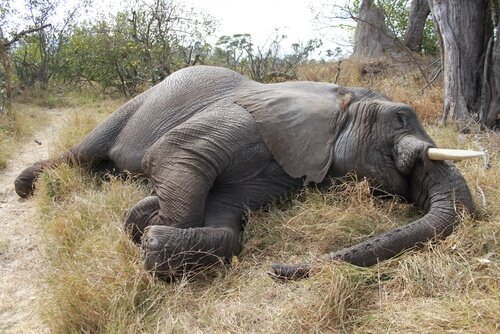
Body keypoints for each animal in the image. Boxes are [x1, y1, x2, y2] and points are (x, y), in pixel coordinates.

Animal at [14, 64, 480, 280]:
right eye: (401, 118)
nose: (276, 269)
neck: (334, 97)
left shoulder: (283, 172)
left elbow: (227, 225)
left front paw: (148, 227)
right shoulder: (248, 121)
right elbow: (176, 150)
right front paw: (144, 227)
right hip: (138, 103)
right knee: (83, 152)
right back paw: (25, 186)